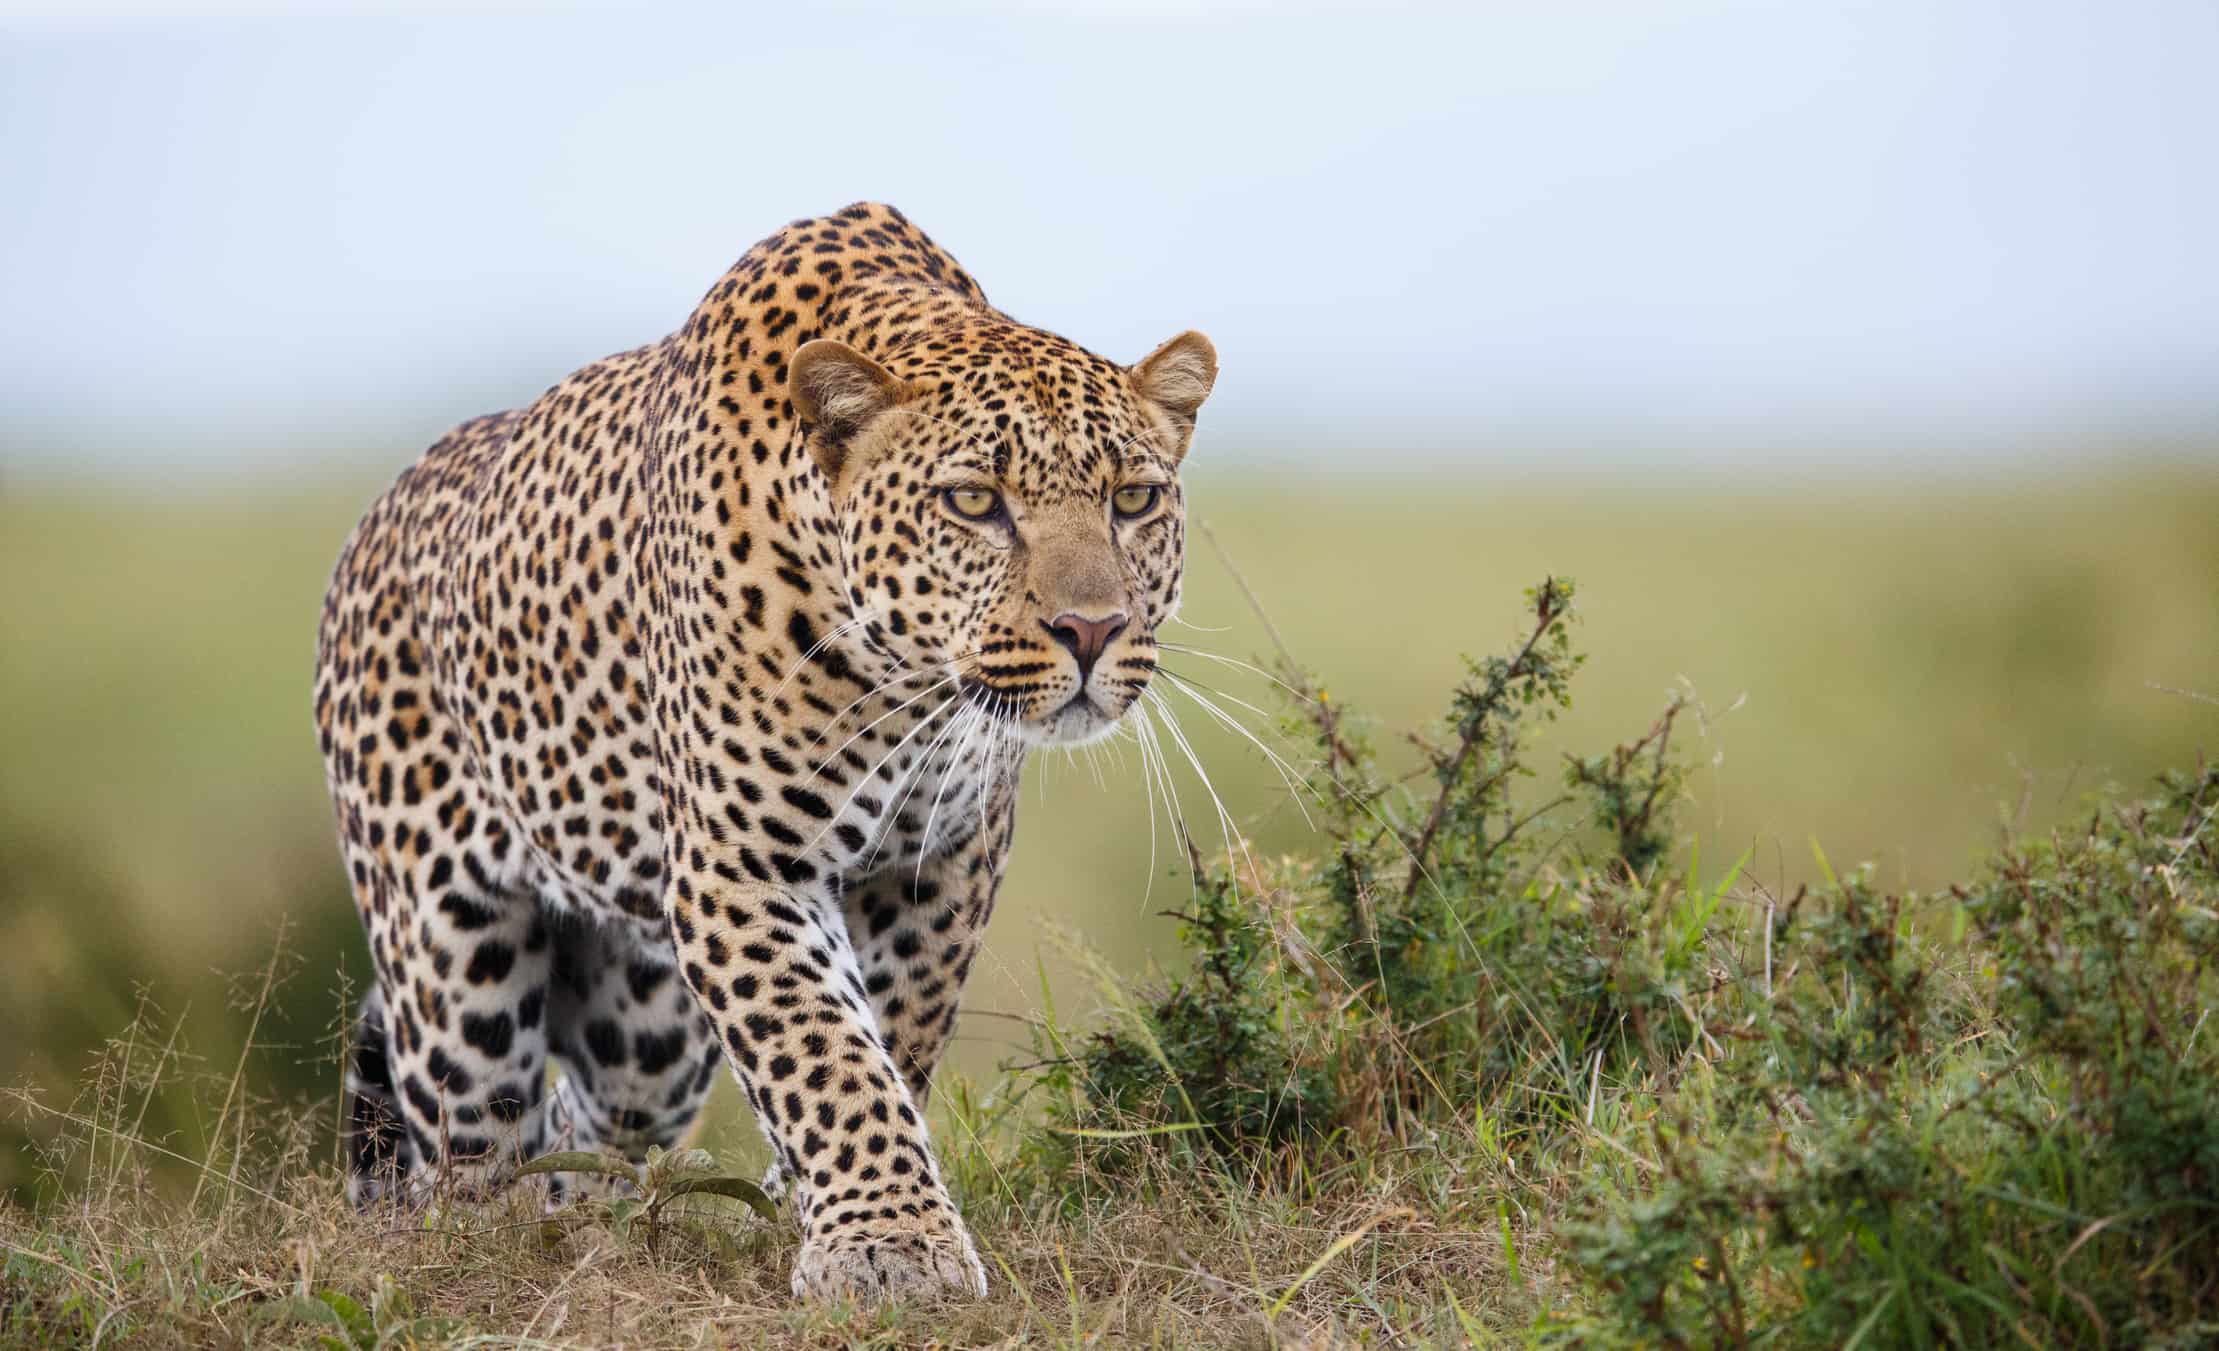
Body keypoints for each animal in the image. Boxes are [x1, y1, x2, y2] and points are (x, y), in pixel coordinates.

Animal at [313, 201, 1217, 1303]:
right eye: (973, 502)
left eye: (1133, 500)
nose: (1091, 629)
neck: (903, 683)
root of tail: (377, 517)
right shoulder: (742, 868)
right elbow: (824, 1049)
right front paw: (889, 1244)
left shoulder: (939, 865)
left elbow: (889, 1041)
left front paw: (816, 1210)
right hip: (452, 969)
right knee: (470, 1155)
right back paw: (500, 1251)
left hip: (645, 1025)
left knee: (589, 1125)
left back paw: (604, 1228)